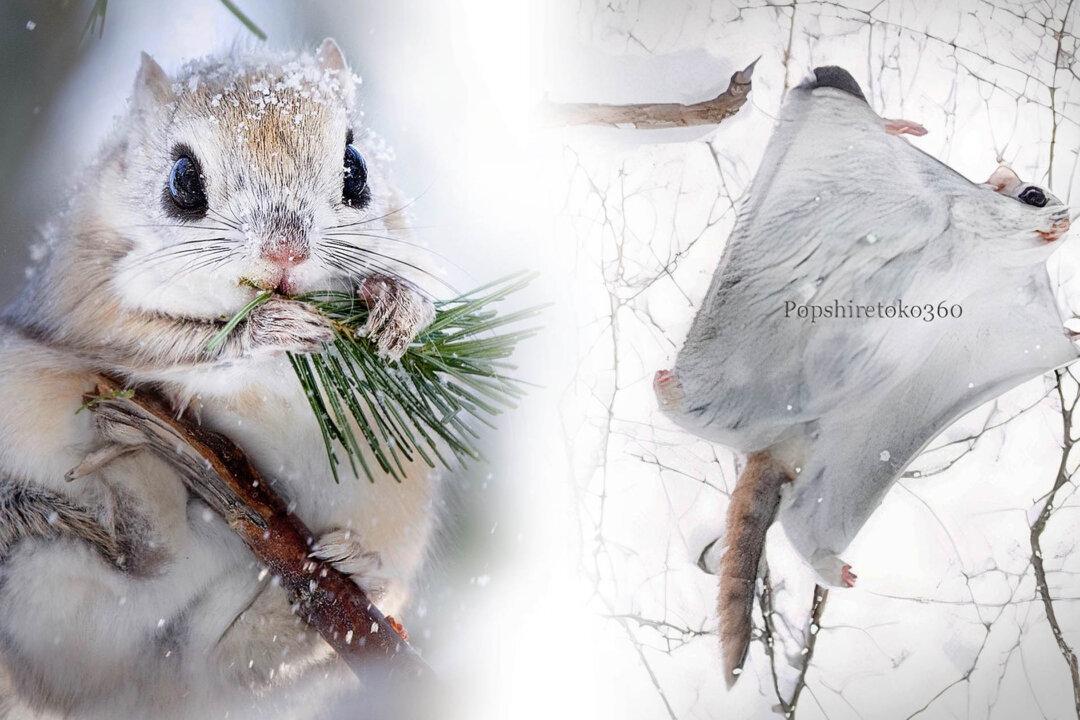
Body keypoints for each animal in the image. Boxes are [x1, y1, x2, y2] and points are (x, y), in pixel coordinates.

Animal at [0, 40, 440, 719]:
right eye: (183, 180)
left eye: (356, 167)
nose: (285, 254)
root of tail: (146, 696)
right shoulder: (84, 299)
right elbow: (171, 339)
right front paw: (265, 328)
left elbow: (415, 284)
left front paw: (401, 309)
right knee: (143, 560)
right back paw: (139, 470)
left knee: (237, 660)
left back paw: (350, 576)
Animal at [654, 66, 1073, 686]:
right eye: (1033, 195)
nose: (1064, 220)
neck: (982, 251)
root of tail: (778, 441)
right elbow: (833, 83)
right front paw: (896, 124)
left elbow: (1064, 339)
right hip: (733, 381)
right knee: (688, 410)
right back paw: (672, 394)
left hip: (853, 463)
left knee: (804, 524)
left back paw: (826, 561)